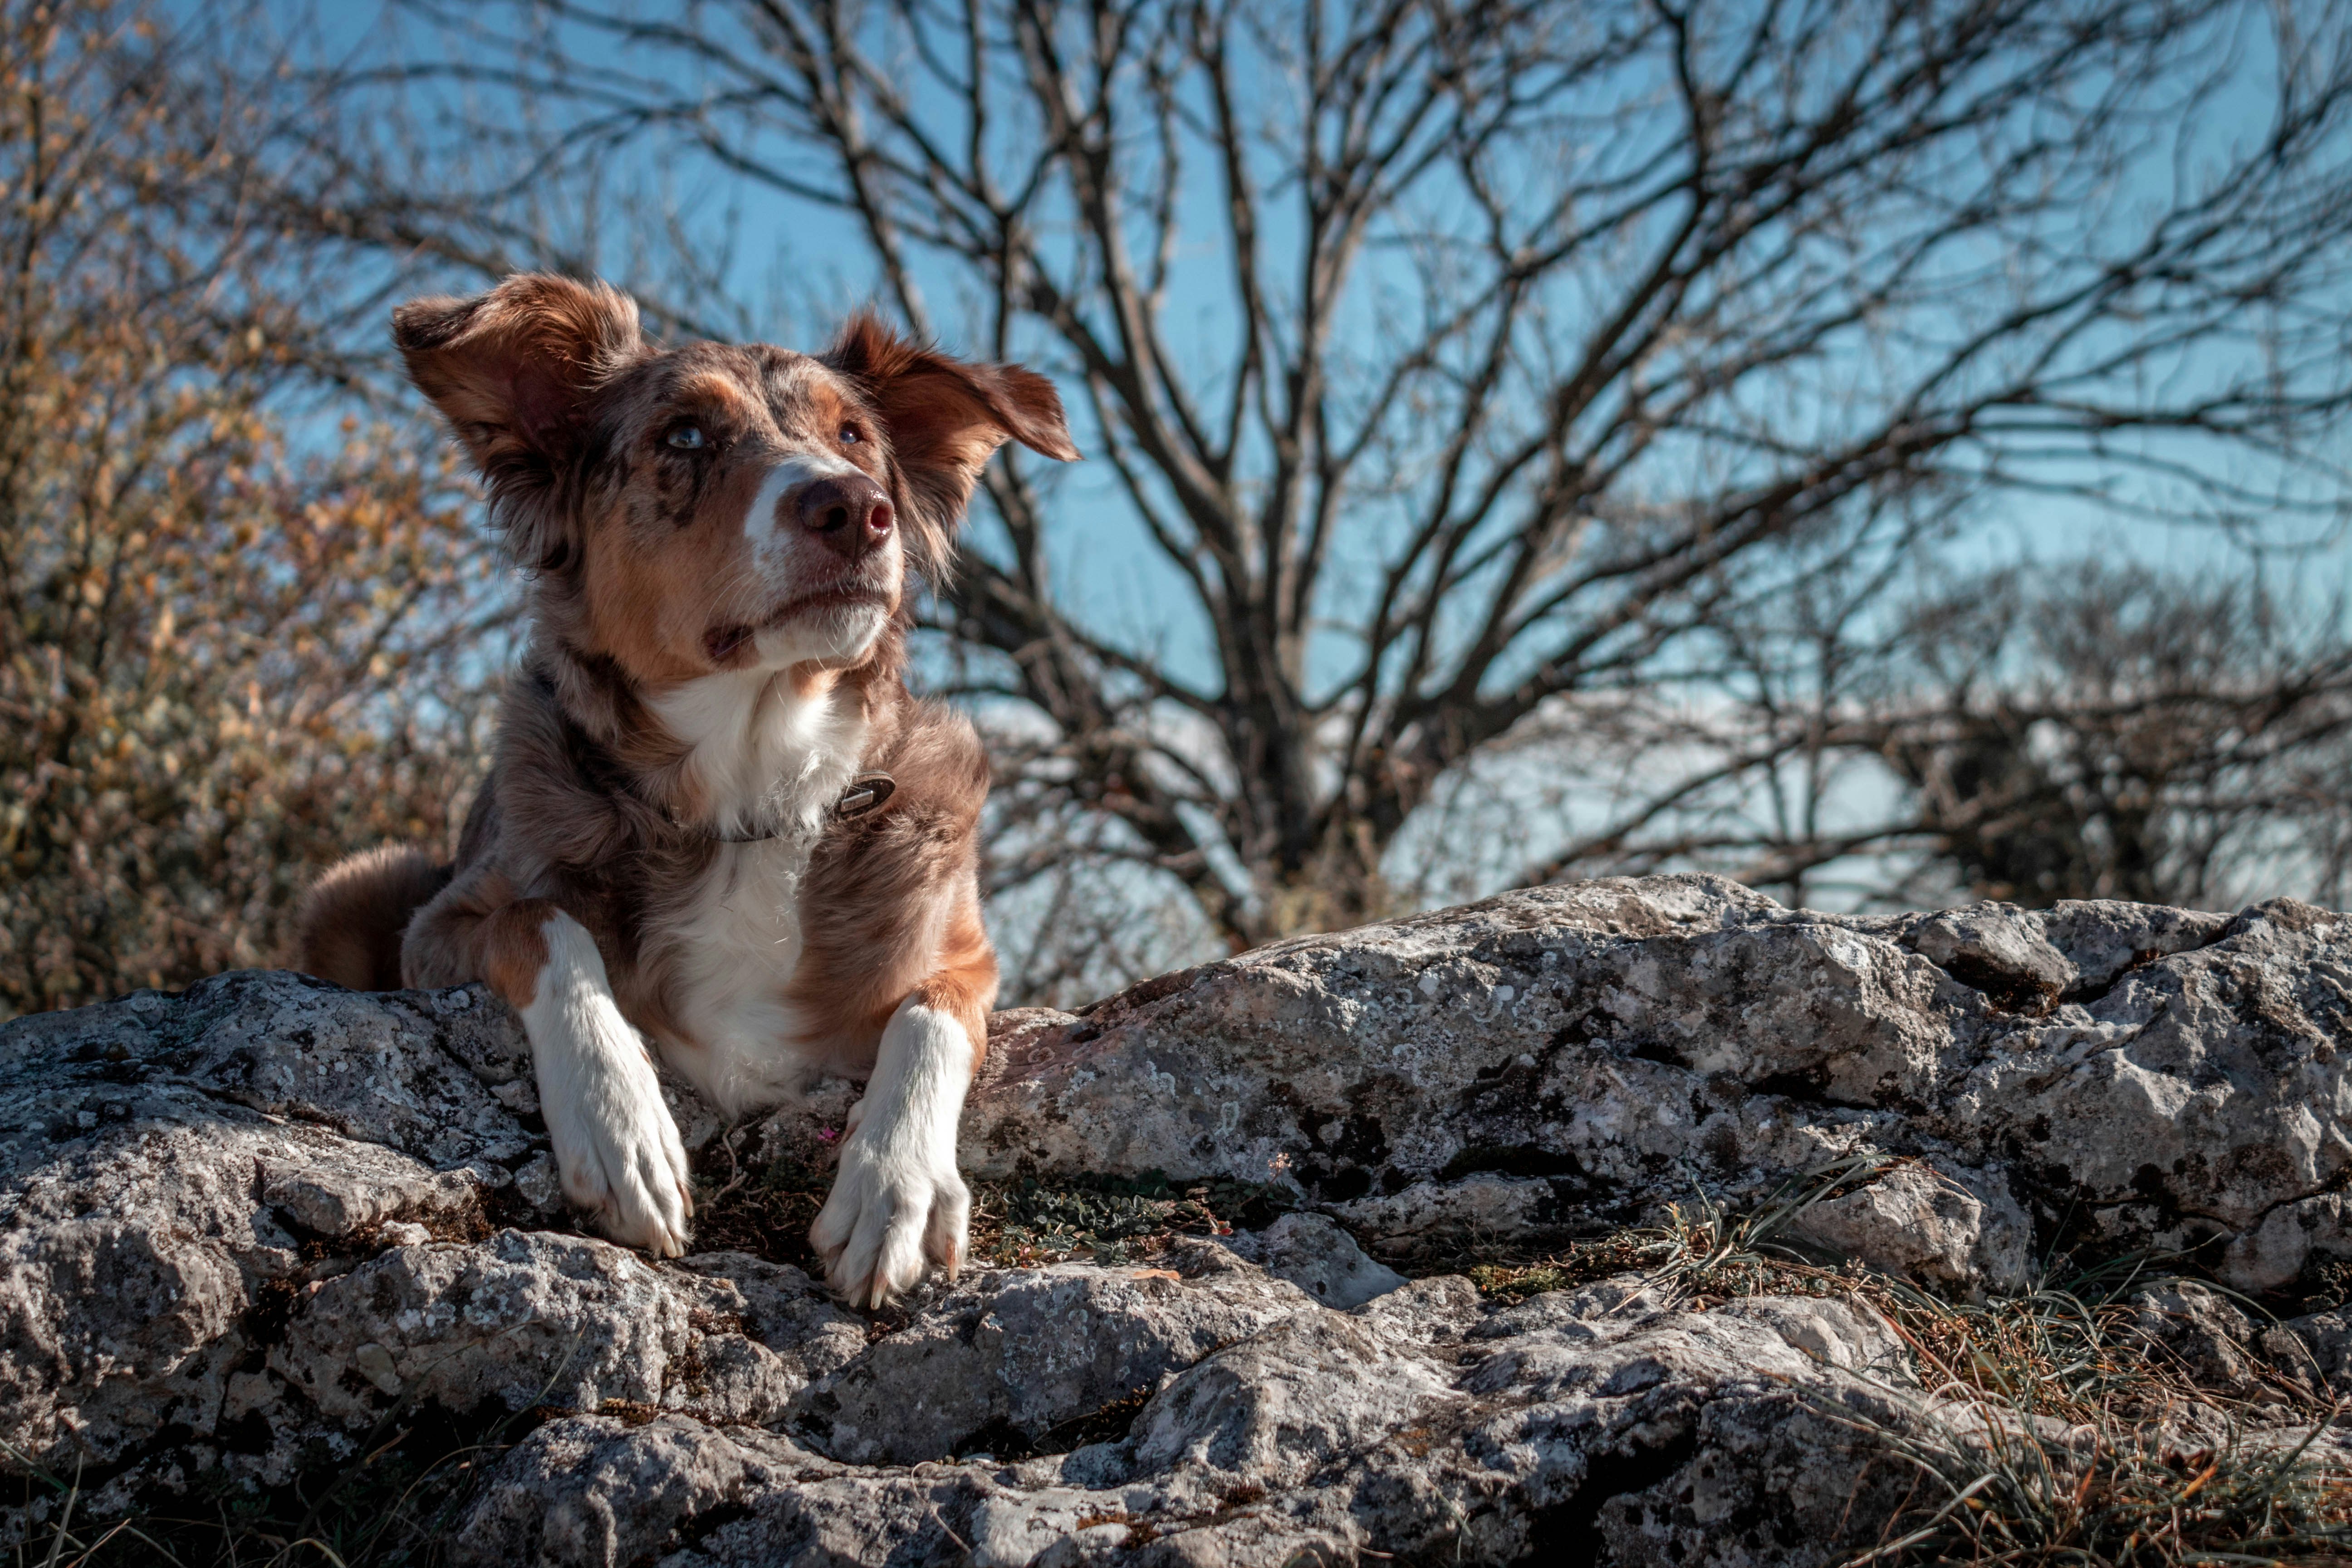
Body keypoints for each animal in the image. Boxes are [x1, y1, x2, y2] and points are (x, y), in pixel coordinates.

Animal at [289, 276, 1077, 1307]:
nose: (857, 509)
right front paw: (623, 1128)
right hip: (353, 885)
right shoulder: (441, 927)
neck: (754, 791)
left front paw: (893, 1186)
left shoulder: (965, 953)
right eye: (687, 435)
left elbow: (929, 1015)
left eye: (854, 435)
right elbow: (539, 922)